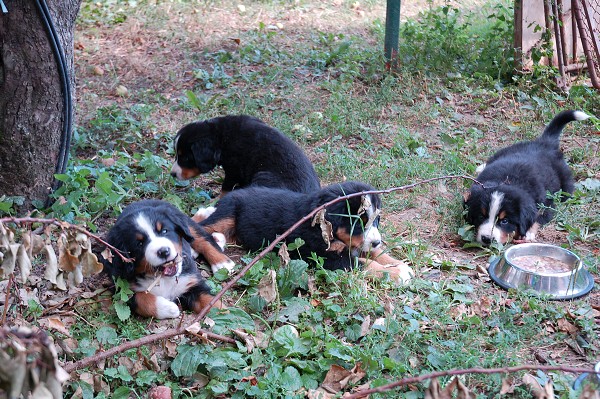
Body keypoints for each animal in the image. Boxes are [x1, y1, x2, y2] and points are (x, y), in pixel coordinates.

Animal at [102, 202, 233, 320]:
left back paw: (222, 262)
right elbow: (139, 299)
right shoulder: (120, 287)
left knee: (202, 239)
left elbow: (210, 300)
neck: (164, 279)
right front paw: (168, 308)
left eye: (164, 231)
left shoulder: (192, 283)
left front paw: (227, 314)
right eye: (139, 243)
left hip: (188, 225)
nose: (164, 251)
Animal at [169, 115, 322, 196]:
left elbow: (225, 188)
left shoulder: (234, 170)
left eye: (185, 158)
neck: (222, 137)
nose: (172, 174)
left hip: (264, 177)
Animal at [192, 181, 412, 284]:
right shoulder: (326, 257)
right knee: (200, 228)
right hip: (229, 213)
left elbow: (376, 254)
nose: (376, 241)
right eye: (357, 223)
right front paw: (396, 273)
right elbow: (364, 263)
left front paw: (400, 265)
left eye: (377, 221)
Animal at [464, 111, 592, 245]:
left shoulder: (547, 205)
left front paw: (528, 233)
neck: (507, 180)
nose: (487, 238)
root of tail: (544, 144)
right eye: (481, 216)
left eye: (504, 221)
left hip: (565, 185)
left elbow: (537, 217)